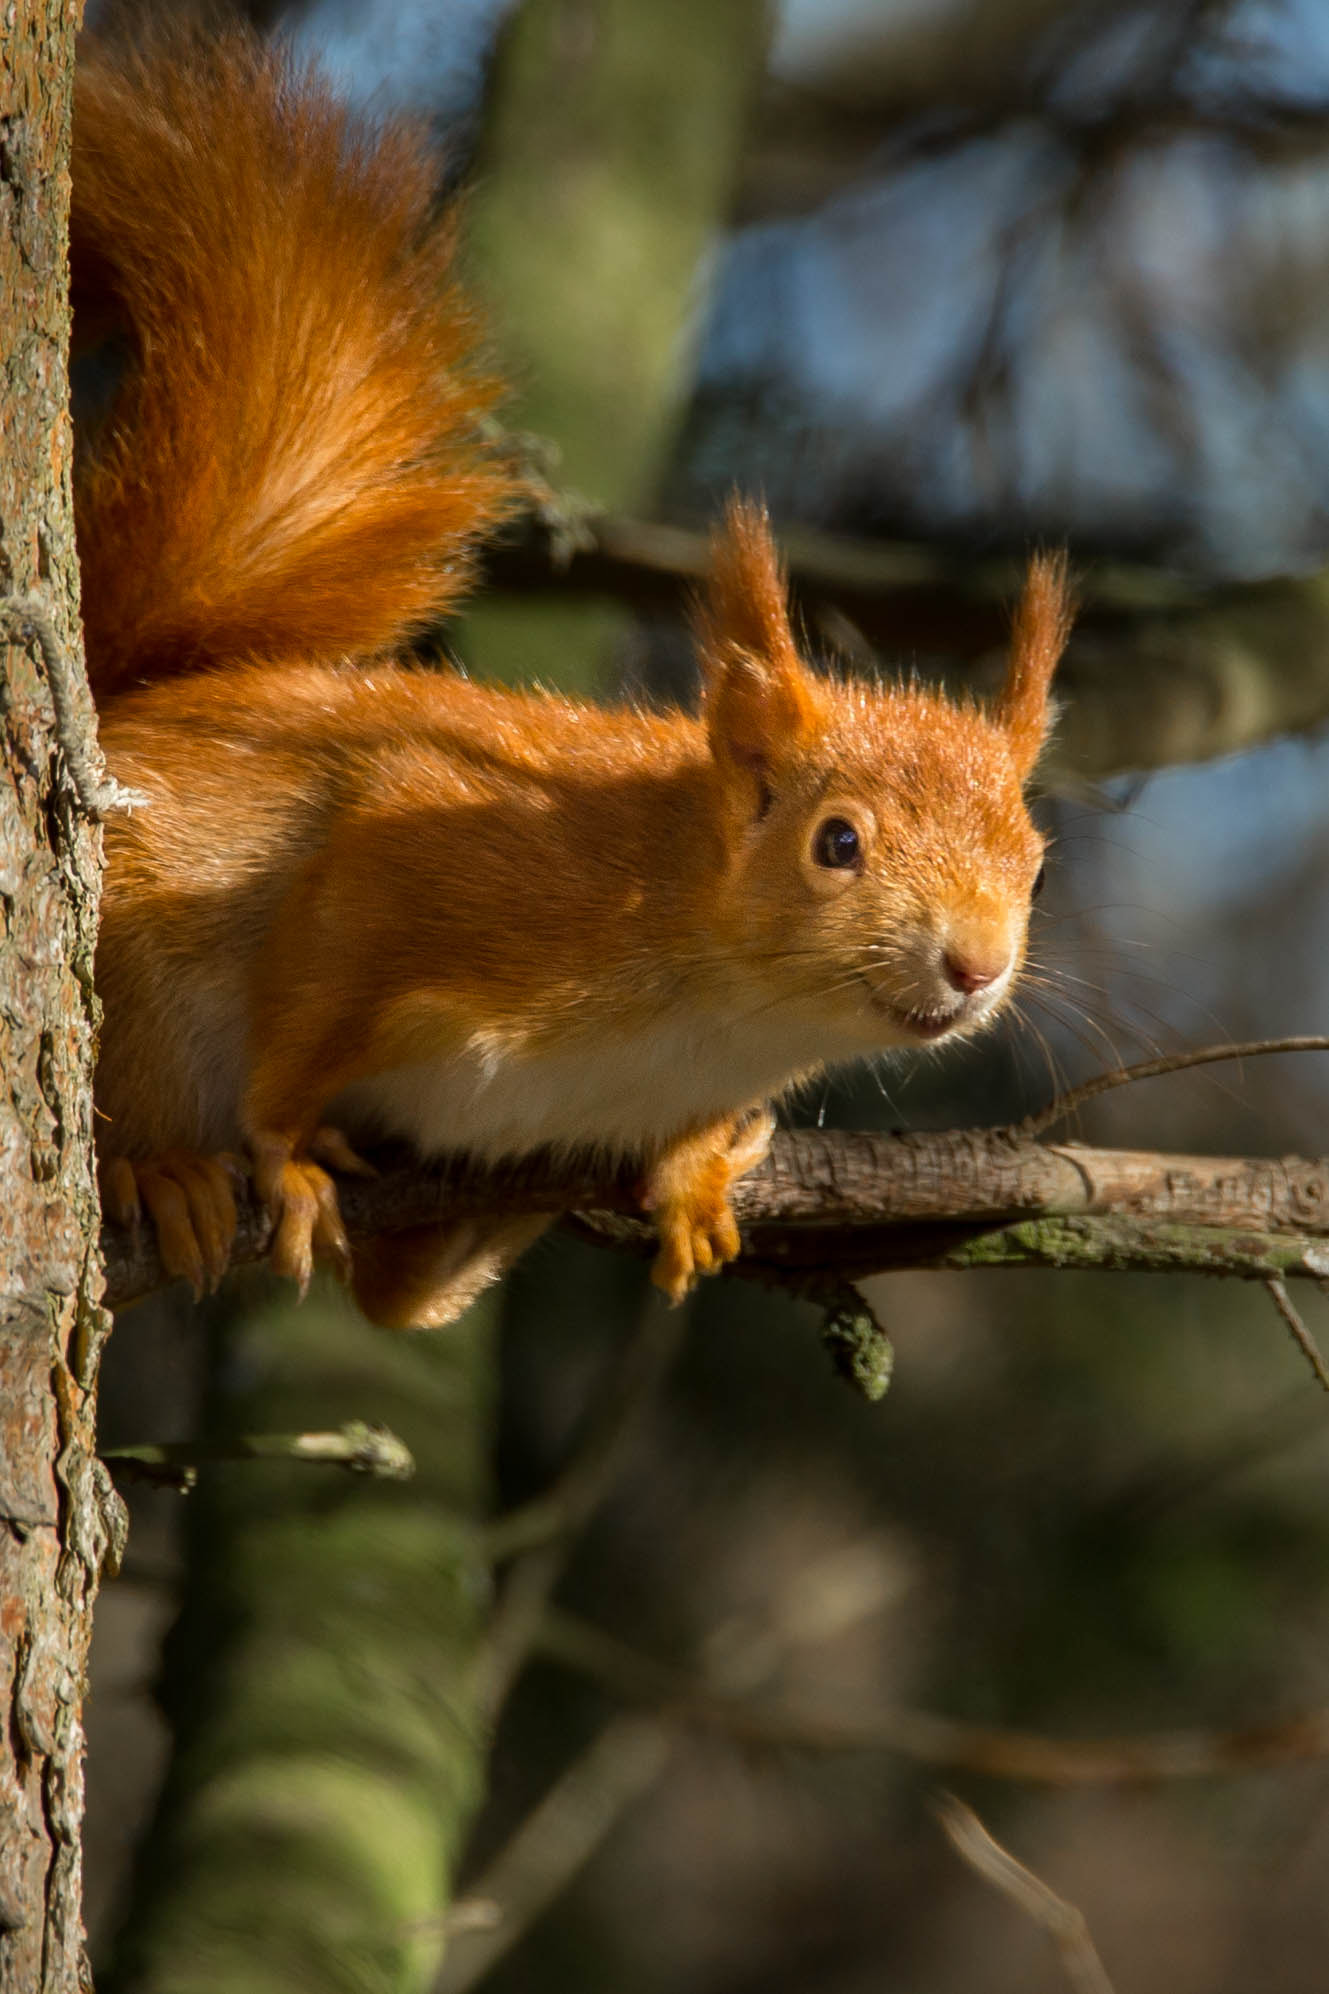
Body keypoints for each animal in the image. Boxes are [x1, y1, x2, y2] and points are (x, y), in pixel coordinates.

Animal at [72, 27, 1069, 1324]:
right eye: (837, 841)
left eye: (1037, 865)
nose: (976, 963)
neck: (722, 1012)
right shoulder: (433, 868)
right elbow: (314, 984)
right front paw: (282, 1150)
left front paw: (699, 1173)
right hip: (137, 965)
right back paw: (166, 1168)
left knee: (402, 1295)